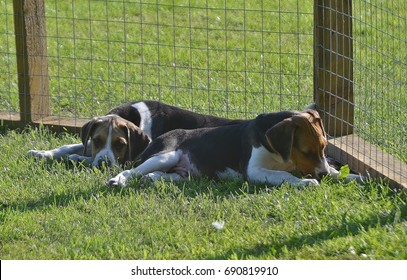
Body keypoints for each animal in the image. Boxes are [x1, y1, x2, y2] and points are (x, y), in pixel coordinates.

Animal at [27, 100, 242, 167]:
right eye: (97, 140)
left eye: (120, 144)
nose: (103, 165)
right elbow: (69, 146)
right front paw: (42, 153)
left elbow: (79, 155)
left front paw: (77, 159)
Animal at [107, 108, 364, 187]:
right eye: (306, 152)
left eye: (324, 148)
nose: (323, 175)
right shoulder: (255, 171)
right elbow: (283, 175)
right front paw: (306, 182)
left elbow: (336, 170)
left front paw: (353, 177)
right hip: (166, 155)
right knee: (131, 170)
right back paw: (117, 180)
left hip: (181, 174)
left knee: (157, 176)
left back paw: (150, 179)